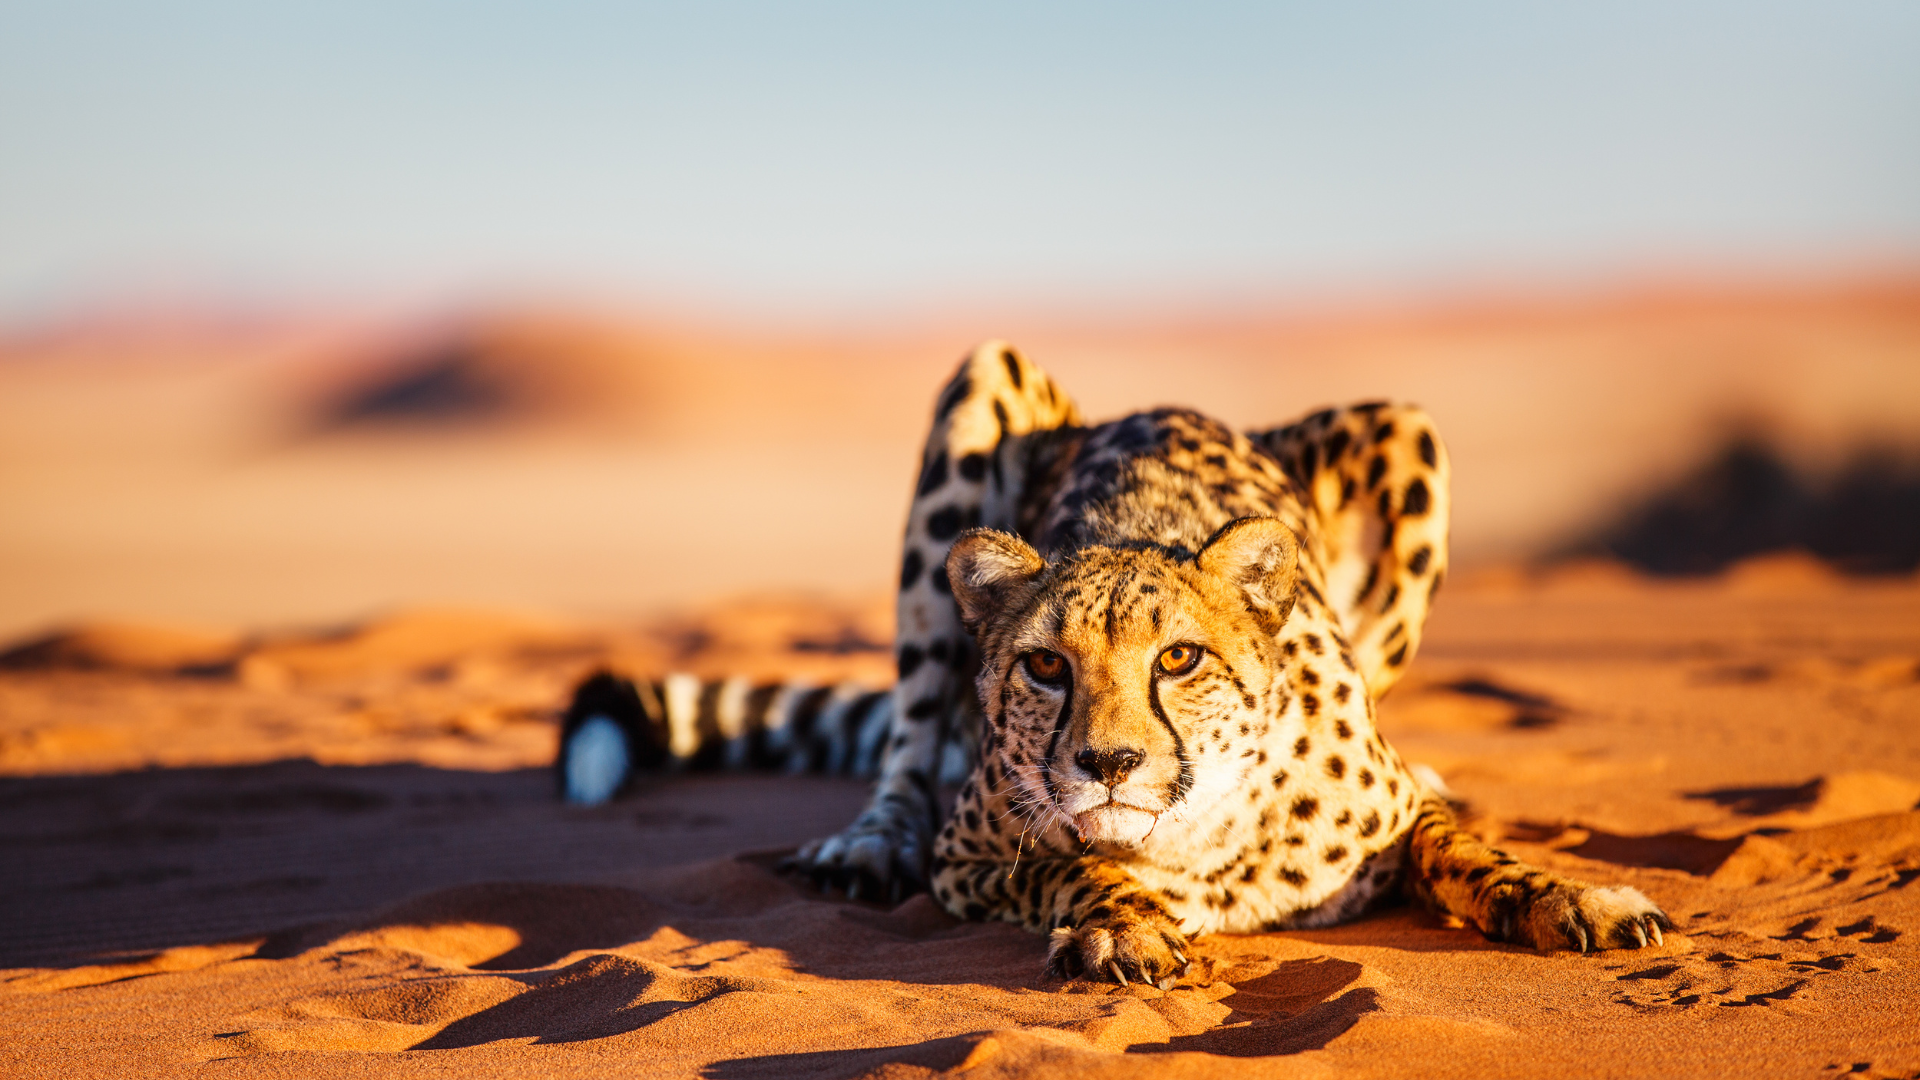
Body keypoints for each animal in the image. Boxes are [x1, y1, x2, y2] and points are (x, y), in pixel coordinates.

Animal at [560, 343, 1674, 983]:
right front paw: (1122, 925)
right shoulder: (967, 862)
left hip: (1407, 433)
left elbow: (1461, 846)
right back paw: (869, 843)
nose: (1109, 763)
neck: (1203, 829)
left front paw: (1570, 896)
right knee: (909, 742)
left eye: (1179, 659)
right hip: (976, 397)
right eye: (1047, 668)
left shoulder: (1391, 808)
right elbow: (1071, 866)